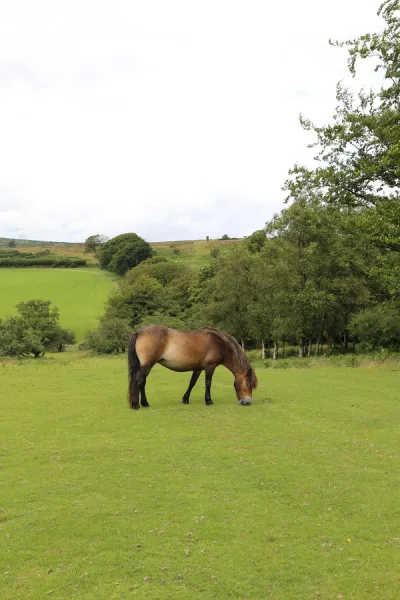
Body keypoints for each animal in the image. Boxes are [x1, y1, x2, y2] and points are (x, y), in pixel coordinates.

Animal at [129, 326, 260, 410]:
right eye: (247, 384)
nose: (247, 402)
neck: (219, 343)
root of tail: (140, 331)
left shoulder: (198, 368)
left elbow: (192, 383)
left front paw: (185, 399)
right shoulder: (210, 367)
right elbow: (208, 383)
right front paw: (208, 400)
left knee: (142, 383)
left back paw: (144, 403)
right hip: (147, 365)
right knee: (139, 381)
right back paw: (136, 405)